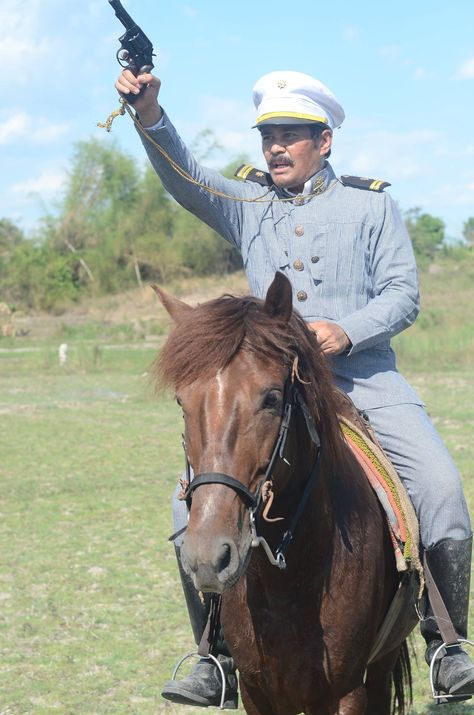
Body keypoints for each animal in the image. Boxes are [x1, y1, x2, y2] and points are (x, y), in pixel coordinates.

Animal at [153, 274, 414, 715]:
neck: (288, 581)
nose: (209, 557)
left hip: (381, 666)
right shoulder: (258, 691)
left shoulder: (347, 691)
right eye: (181, 402)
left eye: (272, 398)